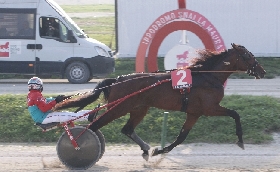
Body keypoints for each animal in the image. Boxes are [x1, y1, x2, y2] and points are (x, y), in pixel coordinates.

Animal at [53, 43, 266, 160]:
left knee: (126, 129)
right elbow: (235, 114)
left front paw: (159, 150)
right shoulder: (210, 108)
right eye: (247, 55)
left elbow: (181, 137)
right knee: (94, 125)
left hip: (139, 108)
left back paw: (146, 149)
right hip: (119, 107)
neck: (208, 76)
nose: (262, 71)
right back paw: (79, 146)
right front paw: (240, 140)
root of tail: (118, 79)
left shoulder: (194, 113)